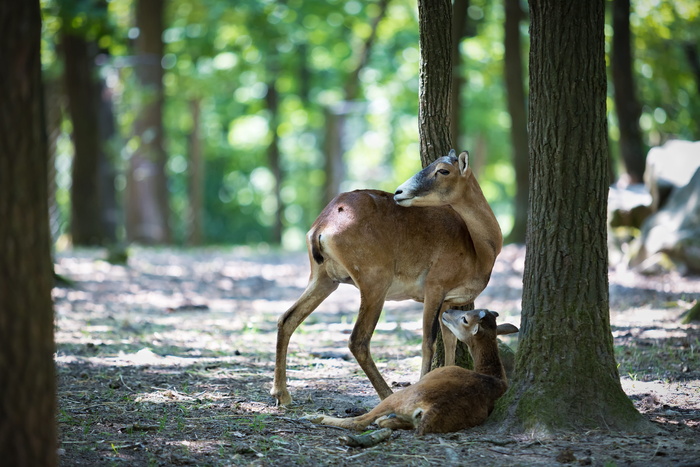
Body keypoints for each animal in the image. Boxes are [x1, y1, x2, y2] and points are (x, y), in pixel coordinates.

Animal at [314, 308, 516, 436]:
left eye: (465, 319)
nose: (447, 311)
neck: (494, 376)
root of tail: (431, 407)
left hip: (400, 395)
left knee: (359, 422)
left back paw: (316, 417)